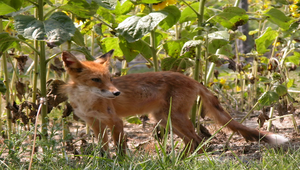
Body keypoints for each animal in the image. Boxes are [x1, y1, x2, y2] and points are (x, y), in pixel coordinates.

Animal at [61, 49, 288, 155]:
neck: (88, 101)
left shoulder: (115, 121)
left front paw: (120, 161)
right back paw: (181, 159)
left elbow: (119, 148)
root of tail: (193, 80)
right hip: (164, 119)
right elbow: (102, 148)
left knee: (198, 141)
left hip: (175, 118)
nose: (116, 93)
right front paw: (103, 159)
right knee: (192, 142)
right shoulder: (94, 123)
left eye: (109, 78)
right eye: (96, 80)